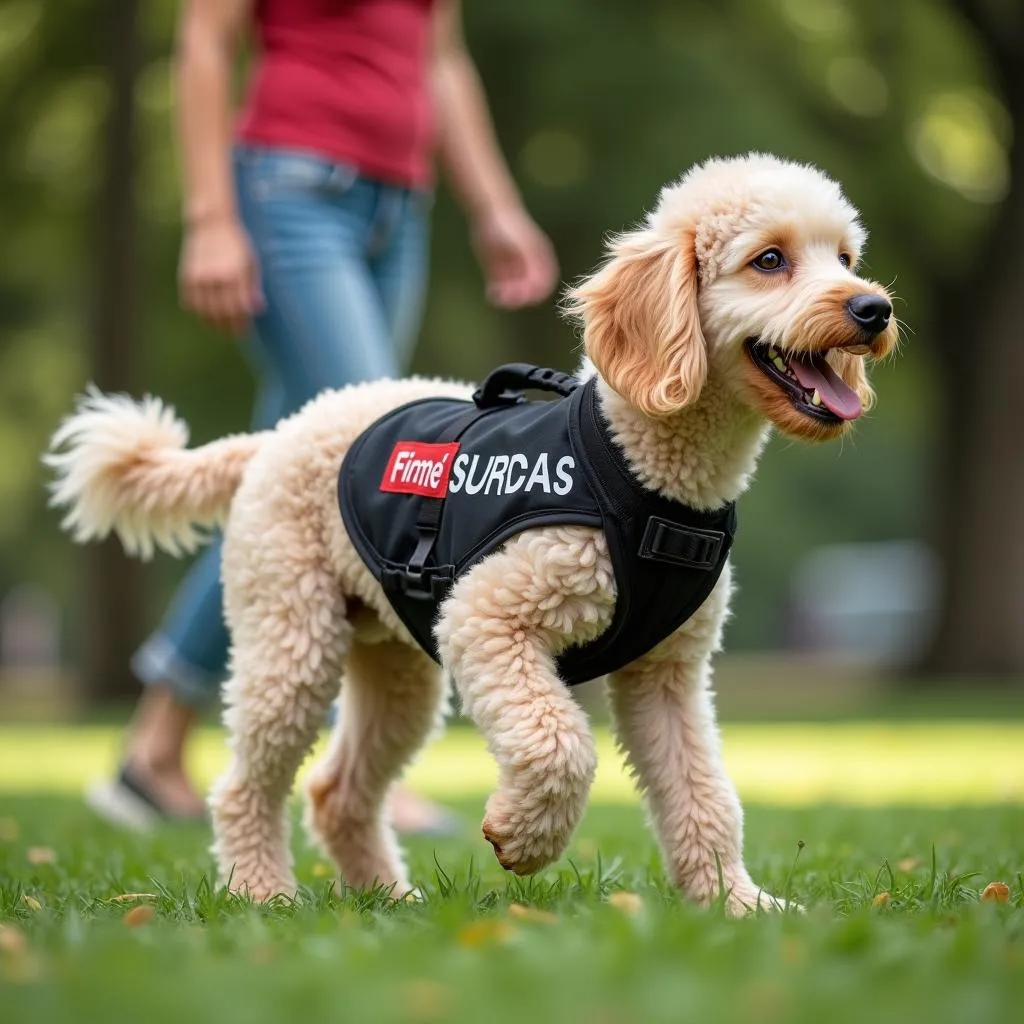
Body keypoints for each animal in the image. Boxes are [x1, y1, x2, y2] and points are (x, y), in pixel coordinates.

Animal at [48, 153, 897, 913]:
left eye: (846, 258)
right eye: (769, 260)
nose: (874, 309)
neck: (641, 474)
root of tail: (278, 435)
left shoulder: (668, 674)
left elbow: (705, 792)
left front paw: (735, 904)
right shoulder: (488, 619)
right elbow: (559, 742)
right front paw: (524, 838)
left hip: (395, 669)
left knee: (335, 790)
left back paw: (388, 896)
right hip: (292, 639)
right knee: (243, 784)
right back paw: (261, 892)